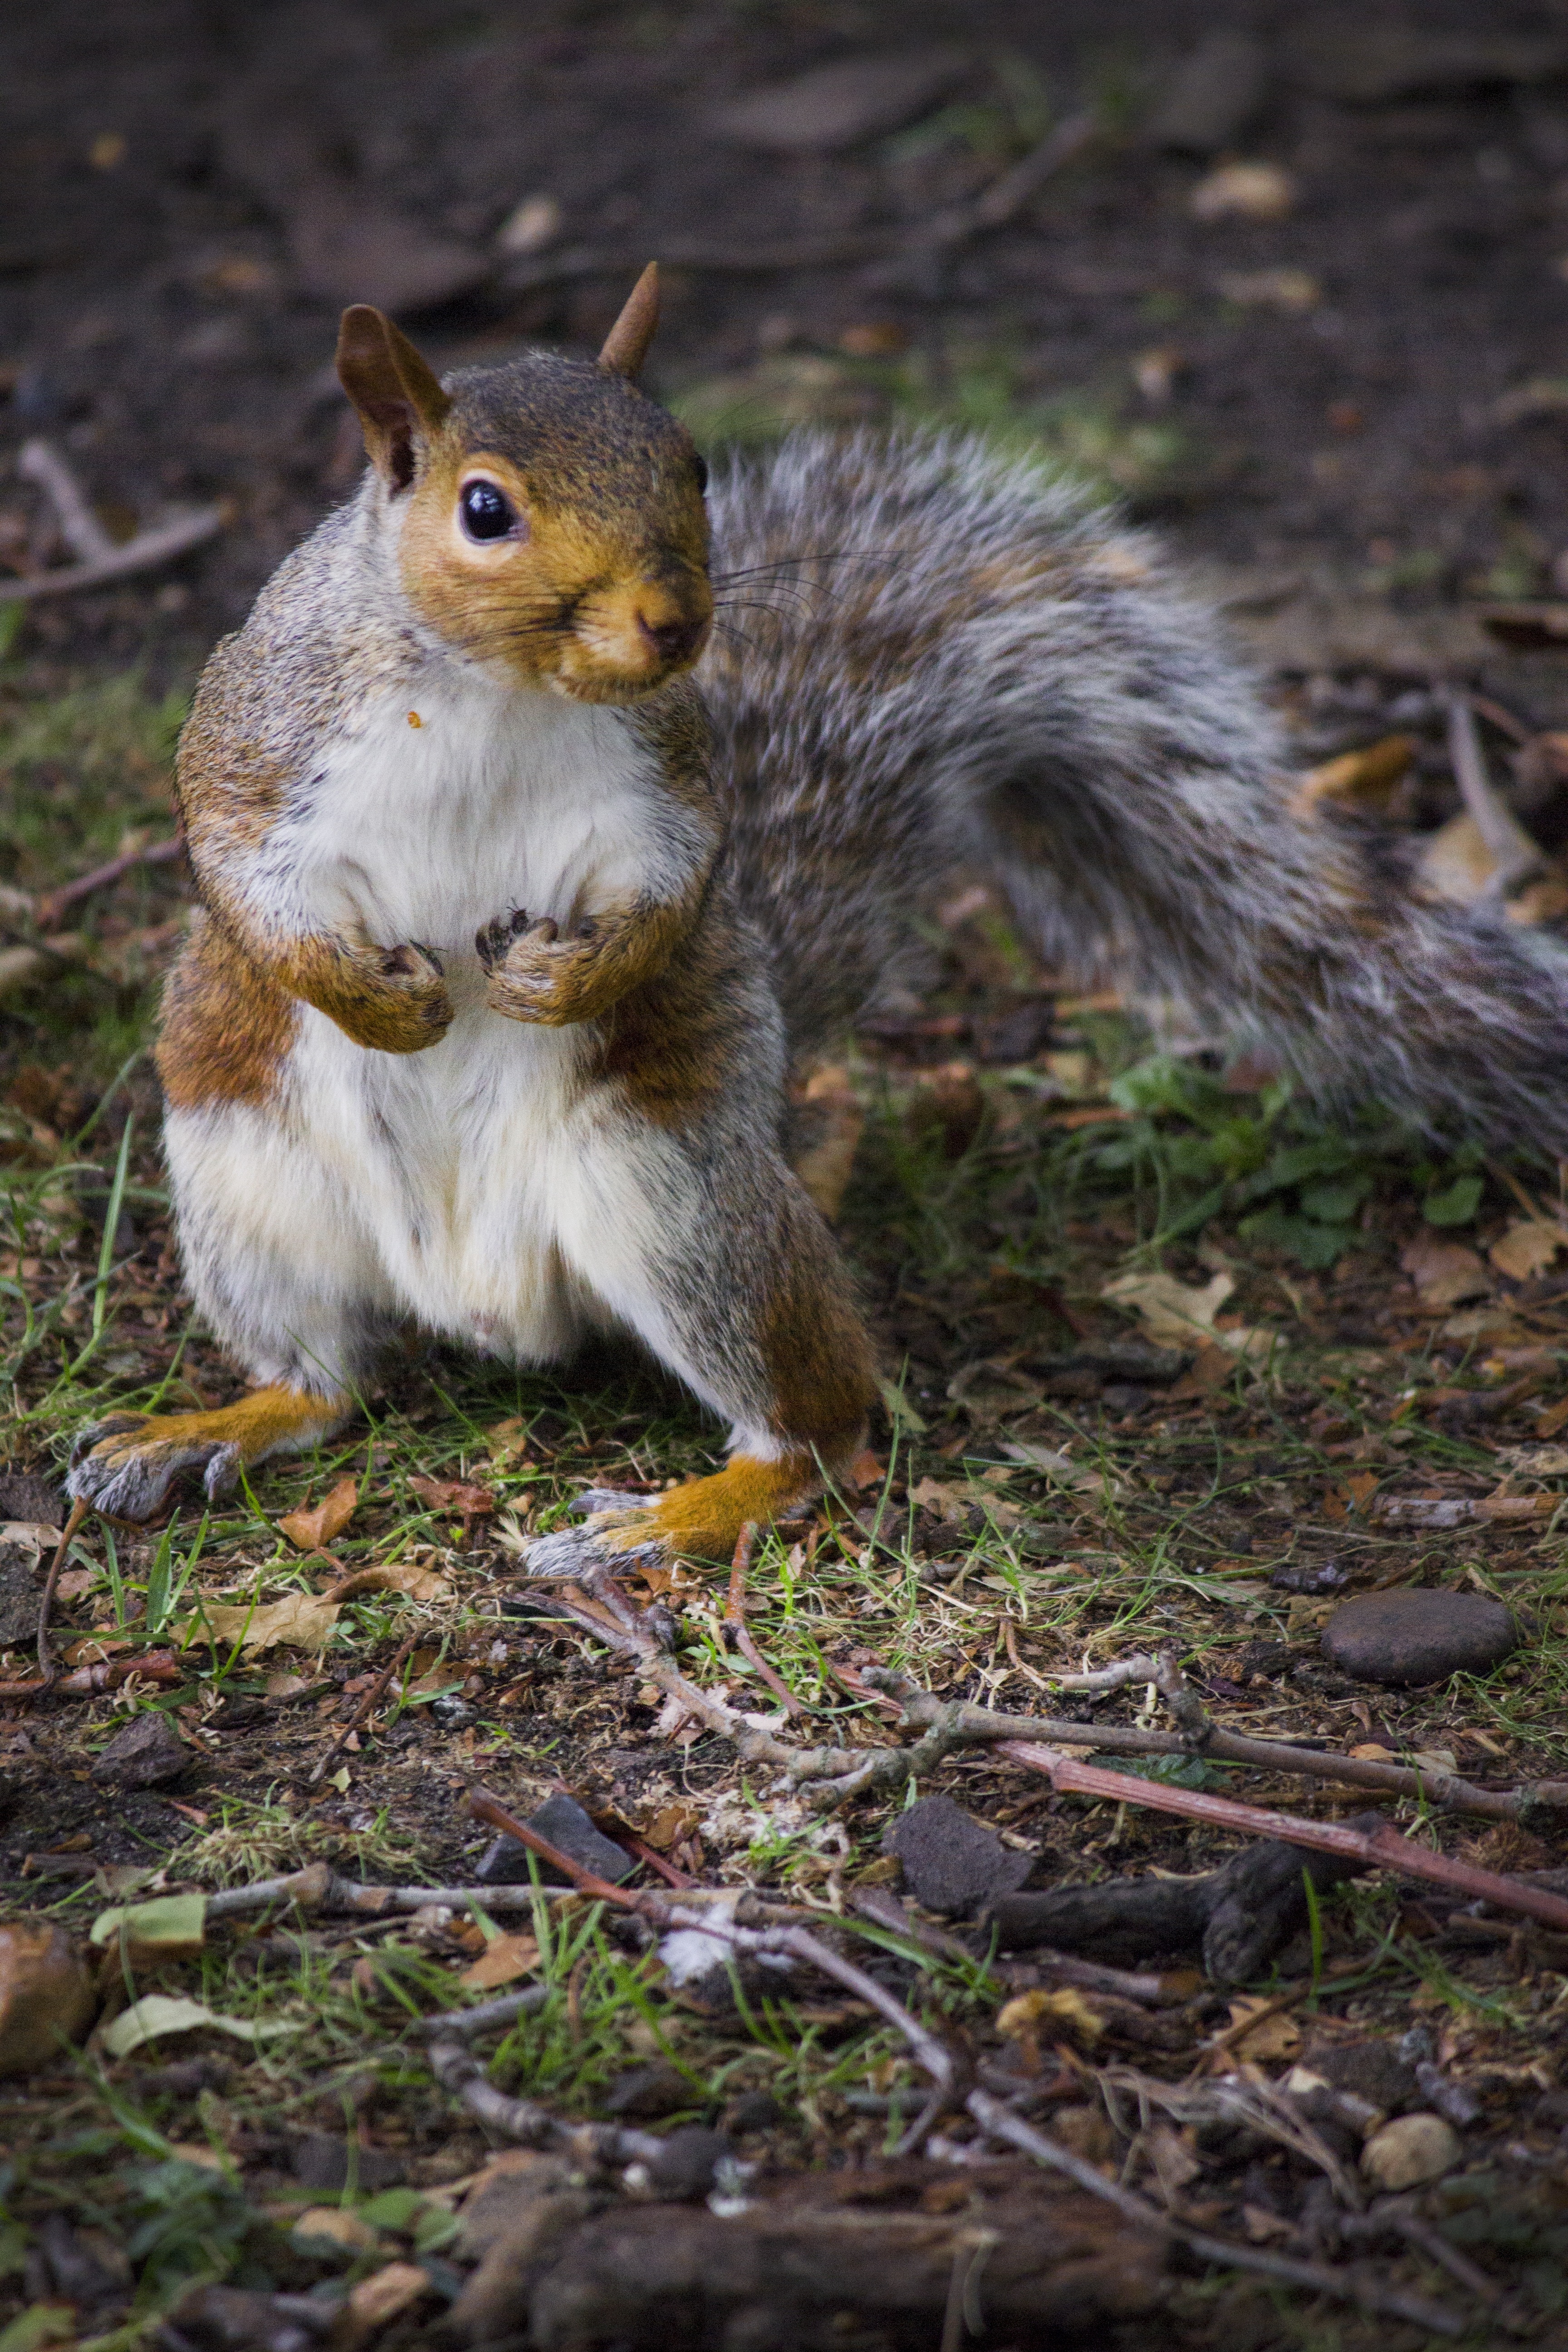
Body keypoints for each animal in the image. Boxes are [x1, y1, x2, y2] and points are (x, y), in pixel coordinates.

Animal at [67, 267, 1568, 1571]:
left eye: (691, 465)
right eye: (483, 509)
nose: (675, 623)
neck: (499, 689)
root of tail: (487, 1311)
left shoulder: (667, 790)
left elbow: (676, 892)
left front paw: (561, 983)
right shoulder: (266, 737)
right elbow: (235, 865)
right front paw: (388, 1001)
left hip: (674, 1195)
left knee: (820, 1427)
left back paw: (676, 1516)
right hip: (246, 1182)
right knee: (332, 1381)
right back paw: (213, 1423)